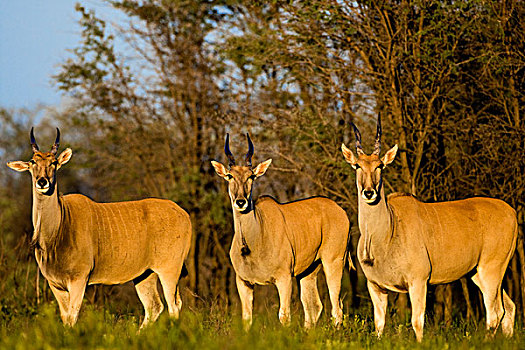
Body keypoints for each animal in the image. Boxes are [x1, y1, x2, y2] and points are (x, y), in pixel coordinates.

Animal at [7, 129, 191, 328]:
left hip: (169, 269)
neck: (59, 229)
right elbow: (65, 318)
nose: (42, 182)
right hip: (145, 274)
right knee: (154, 307)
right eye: (33, 161)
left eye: (54, 162)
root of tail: (184, 214)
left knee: (173, 306)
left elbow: (72, 317)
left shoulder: (79, 280)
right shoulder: (55, 284)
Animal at [210, 134, 352, 328]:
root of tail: (341, 211)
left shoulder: (284, 278)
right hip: (308, 272)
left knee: (336, 308)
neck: (255, 238)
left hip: (333, 262)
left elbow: (284, 316)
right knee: (313, 306)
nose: (241, 202)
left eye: (251, 176)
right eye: (230, 176)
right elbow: (247, 319)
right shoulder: (244, 282)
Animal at [340, 116, 516, 340]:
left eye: (380, 166)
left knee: (495, 313)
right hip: (480, 273)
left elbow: (417, 321)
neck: (388, 232)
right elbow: (379, 325)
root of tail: (511, 212)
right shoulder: (376, 286)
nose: (369, 192)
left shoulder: (418, 281)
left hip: (491, 268)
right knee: (508, 308)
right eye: (357, 166)